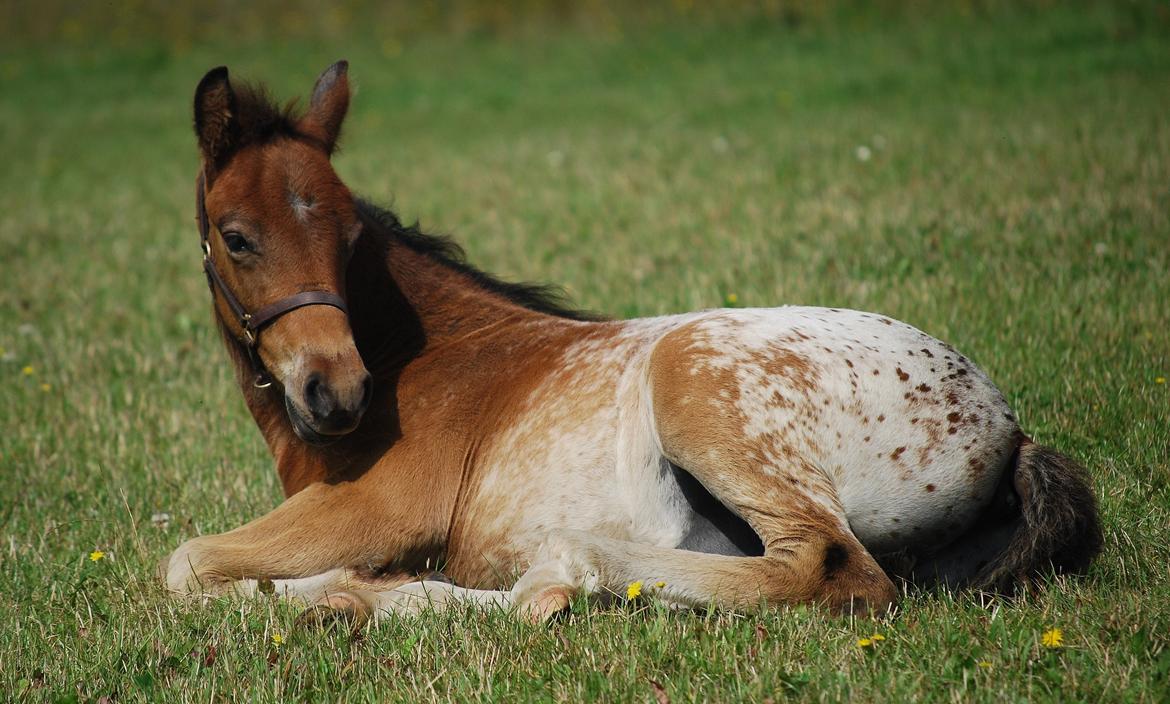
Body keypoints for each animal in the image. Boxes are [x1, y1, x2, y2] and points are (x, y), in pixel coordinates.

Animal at [162, 60, 1095, 617]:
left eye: (351, 234)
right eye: (236, 238)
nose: (338, 392)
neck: (418, 362)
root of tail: (1007, 428)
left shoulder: (376, 508)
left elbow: (188, 564)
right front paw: (343, 593)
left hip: (693, 382)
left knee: (827, 568)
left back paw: (560, 573)